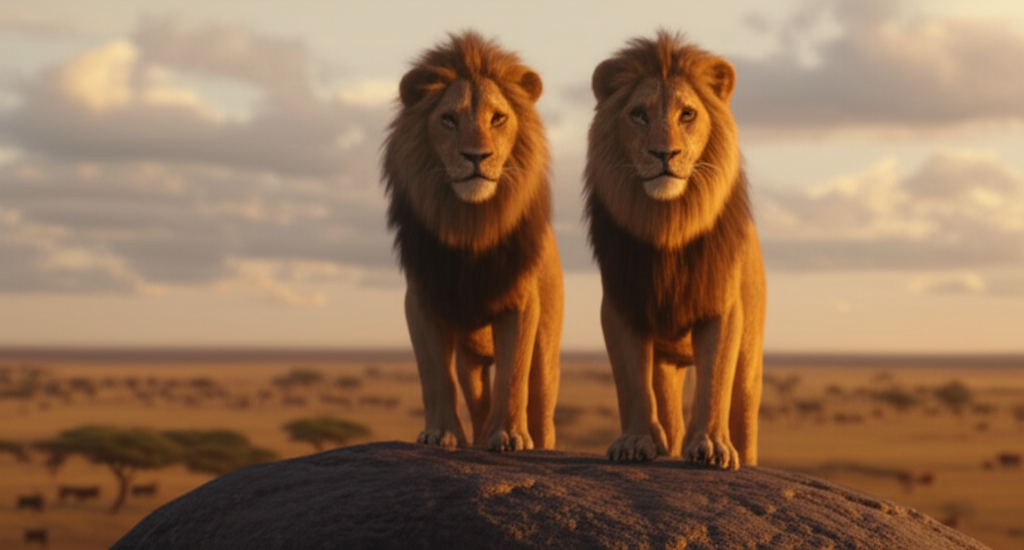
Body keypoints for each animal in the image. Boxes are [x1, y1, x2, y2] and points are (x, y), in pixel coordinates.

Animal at [381, 31, 563, 452]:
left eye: (497, 118)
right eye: (449, 119)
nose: (477, 156)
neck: (471, 226)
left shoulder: (521, 302)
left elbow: (512, 375)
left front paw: (510, 435)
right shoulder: (422, 300)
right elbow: (435, 376)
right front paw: (440, 433)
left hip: (547, 352)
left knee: (541, 408)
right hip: (472, 362)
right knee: (478, 401)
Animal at [583, 32, 766, 469]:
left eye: (687, 114)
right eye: (638, 114)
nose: (664, 154)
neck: (668, 225)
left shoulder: (723, 306)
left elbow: (714, 379)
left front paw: (712, 445)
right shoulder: (621, 305)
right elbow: (631, 383)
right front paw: (635, 441)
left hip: (750, 362)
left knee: (743, 408)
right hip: (666, 364)